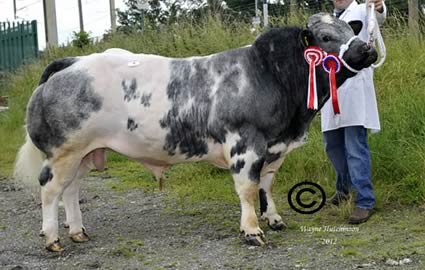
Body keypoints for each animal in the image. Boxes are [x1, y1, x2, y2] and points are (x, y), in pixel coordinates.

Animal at [14, 13, 376, 251]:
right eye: (326, 37)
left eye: (350, 28)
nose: (368, 49)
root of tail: (71, 63)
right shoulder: (245, 144)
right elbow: (248, 189)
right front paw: (252, 231)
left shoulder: (274, 147)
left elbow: (267, 185)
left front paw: (273, 219)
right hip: (63, 151)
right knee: (51, 189)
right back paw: (53, 239)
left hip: (86, 152)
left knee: (71, 189)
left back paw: (77, 231)